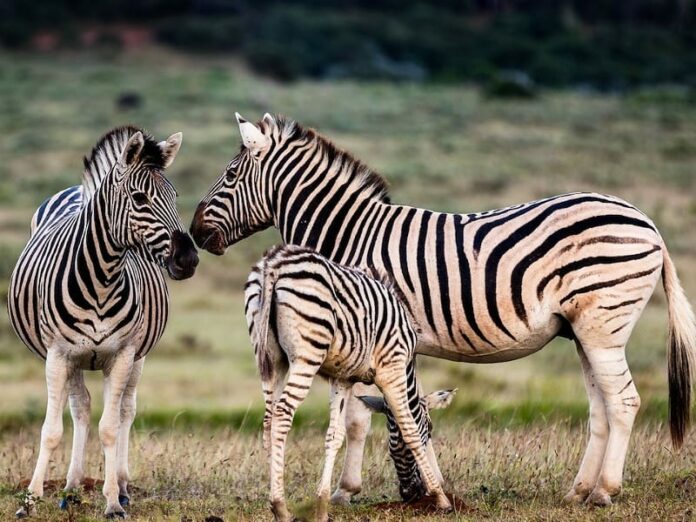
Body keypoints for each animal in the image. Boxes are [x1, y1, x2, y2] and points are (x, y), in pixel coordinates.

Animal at [8, 126, 199, 518]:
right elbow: (51, 429)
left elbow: (111, 427)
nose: (188, 259)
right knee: (80, 408)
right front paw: (30, 500)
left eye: (175, 196)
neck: (102, 278)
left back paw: (122, 487)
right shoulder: (58, 355)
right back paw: (69, 487)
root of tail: (77, 190)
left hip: (136, 356)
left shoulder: (123, 354)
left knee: (125, 409)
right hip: (74, 359)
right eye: (139, 198)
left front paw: (112, 502)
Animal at [244, 244, 456, 521]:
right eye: (429, 429)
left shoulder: (342, 378)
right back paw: (280, 506)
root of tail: (274, 262)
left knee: (269, 419)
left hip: (271, 357)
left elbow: (335, 436)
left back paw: (275, 497)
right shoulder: (392, 369)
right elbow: (409, 429)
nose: (411, 495)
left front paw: (322, 505)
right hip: (307, 354)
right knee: (282, 414)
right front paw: (441, 499)